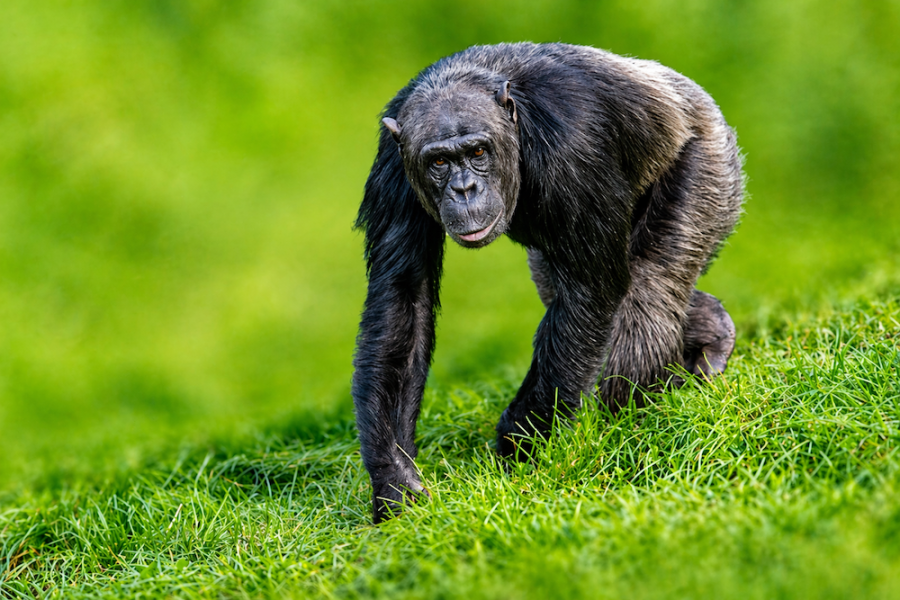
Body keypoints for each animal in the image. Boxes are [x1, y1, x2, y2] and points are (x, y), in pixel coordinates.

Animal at [353, 42, 743, 523]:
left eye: (477, 152)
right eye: (439, 161)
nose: (464, 188)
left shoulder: (575, 145)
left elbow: (588, 291)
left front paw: (517, 445)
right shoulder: (393, 166)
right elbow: (403, 298)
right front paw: (396, 481)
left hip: (708, 167)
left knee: (647, 292)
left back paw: (636, 417)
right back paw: (712, 334)